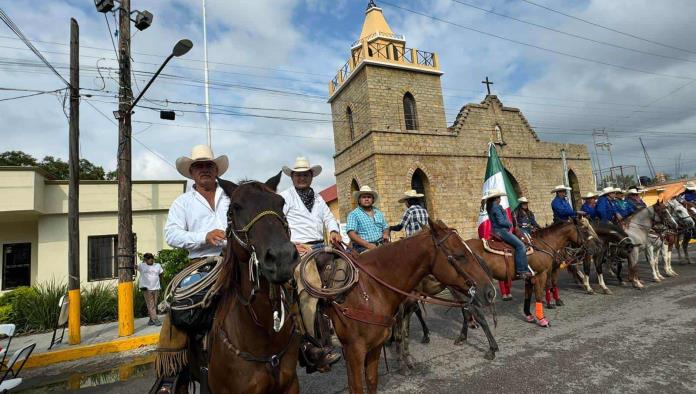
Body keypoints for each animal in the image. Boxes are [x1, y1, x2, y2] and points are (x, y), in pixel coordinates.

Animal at [328, 220, 498, 392]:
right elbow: (404, 333)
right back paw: (467, 338)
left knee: (476, 315)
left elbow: (402, 334)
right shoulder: (404, 309)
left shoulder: (403, 309)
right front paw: (406, 359)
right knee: (468, 313)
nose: (490, 291)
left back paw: (490, 347)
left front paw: (404, 362)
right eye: (460, 255)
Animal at [464, 217, 600, 328]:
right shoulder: (541, 274)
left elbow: (528, 296)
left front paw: (529, 315)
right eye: (584, 229)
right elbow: (539, 294)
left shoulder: (530, 277)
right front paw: (543, 319)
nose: (596, 246)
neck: (543, 244)